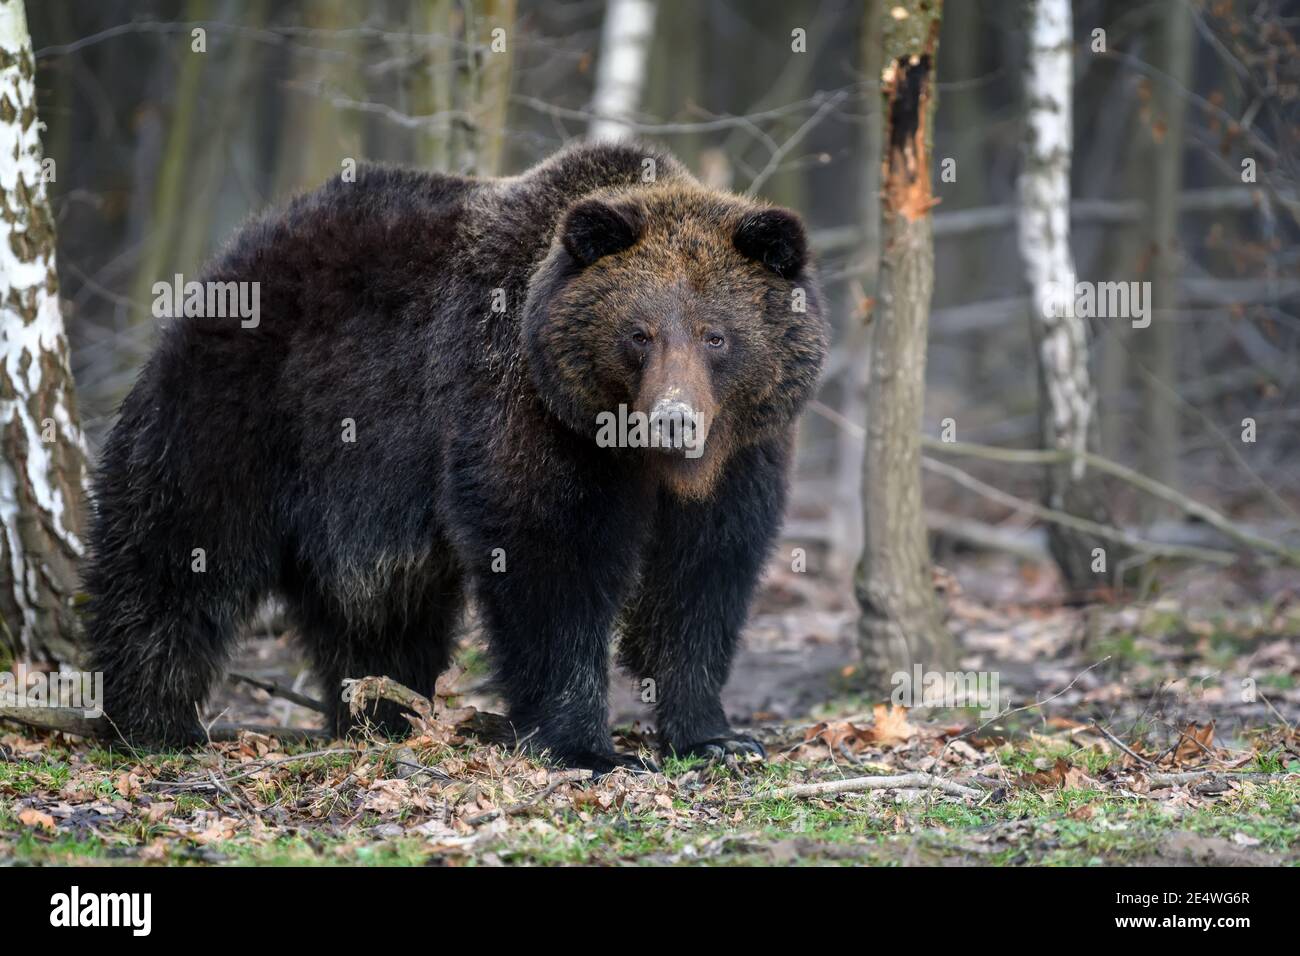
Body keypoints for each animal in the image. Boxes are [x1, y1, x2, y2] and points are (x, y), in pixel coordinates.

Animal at [86, 140, 826, 770]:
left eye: (715, 335)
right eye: (639, 334)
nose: (673, 421)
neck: (638, 457)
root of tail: (244, 245)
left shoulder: (741, 458)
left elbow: (701, 579)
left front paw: (716, 737)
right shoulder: (527, 415)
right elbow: (551, 558)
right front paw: (587, 747)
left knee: (380, 605)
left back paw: (379, 714)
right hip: (246, 408)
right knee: (174, 554)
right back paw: (152, 723)